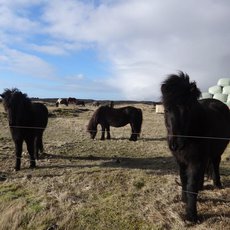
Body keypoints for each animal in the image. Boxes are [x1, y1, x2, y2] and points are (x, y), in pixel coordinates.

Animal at [161, 72, 230, 223]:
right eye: (167, 110)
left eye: (188, 109)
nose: (176, 144)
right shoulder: (181, 160)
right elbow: (183, 179)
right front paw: (184, 199)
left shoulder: (195, 160)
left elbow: (191, 185)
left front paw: (191, 216)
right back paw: (202, 185)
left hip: (216, 151)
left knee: (215, 163)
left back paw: (217, 183)